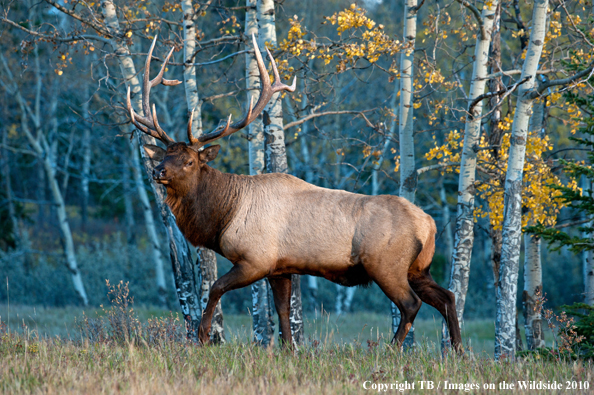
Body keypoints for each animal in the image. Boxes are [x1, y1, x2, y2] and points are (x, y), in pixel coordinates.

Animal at [126, 33, 462, 350]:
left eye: (190, 161)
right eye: (165, 155)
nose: (158, 172)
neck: (222, 217)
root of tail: (429, 225)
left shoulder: (256, 259)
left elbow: (216, 287)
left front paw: (203, 336)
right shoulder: (280, 268)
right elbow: (283, 312)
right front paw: (289, 349)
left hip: (386, 264)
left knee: (411, 304)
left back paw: (391, 349)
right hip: (418, 268)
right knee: (448, 296)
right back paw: (457, 350)